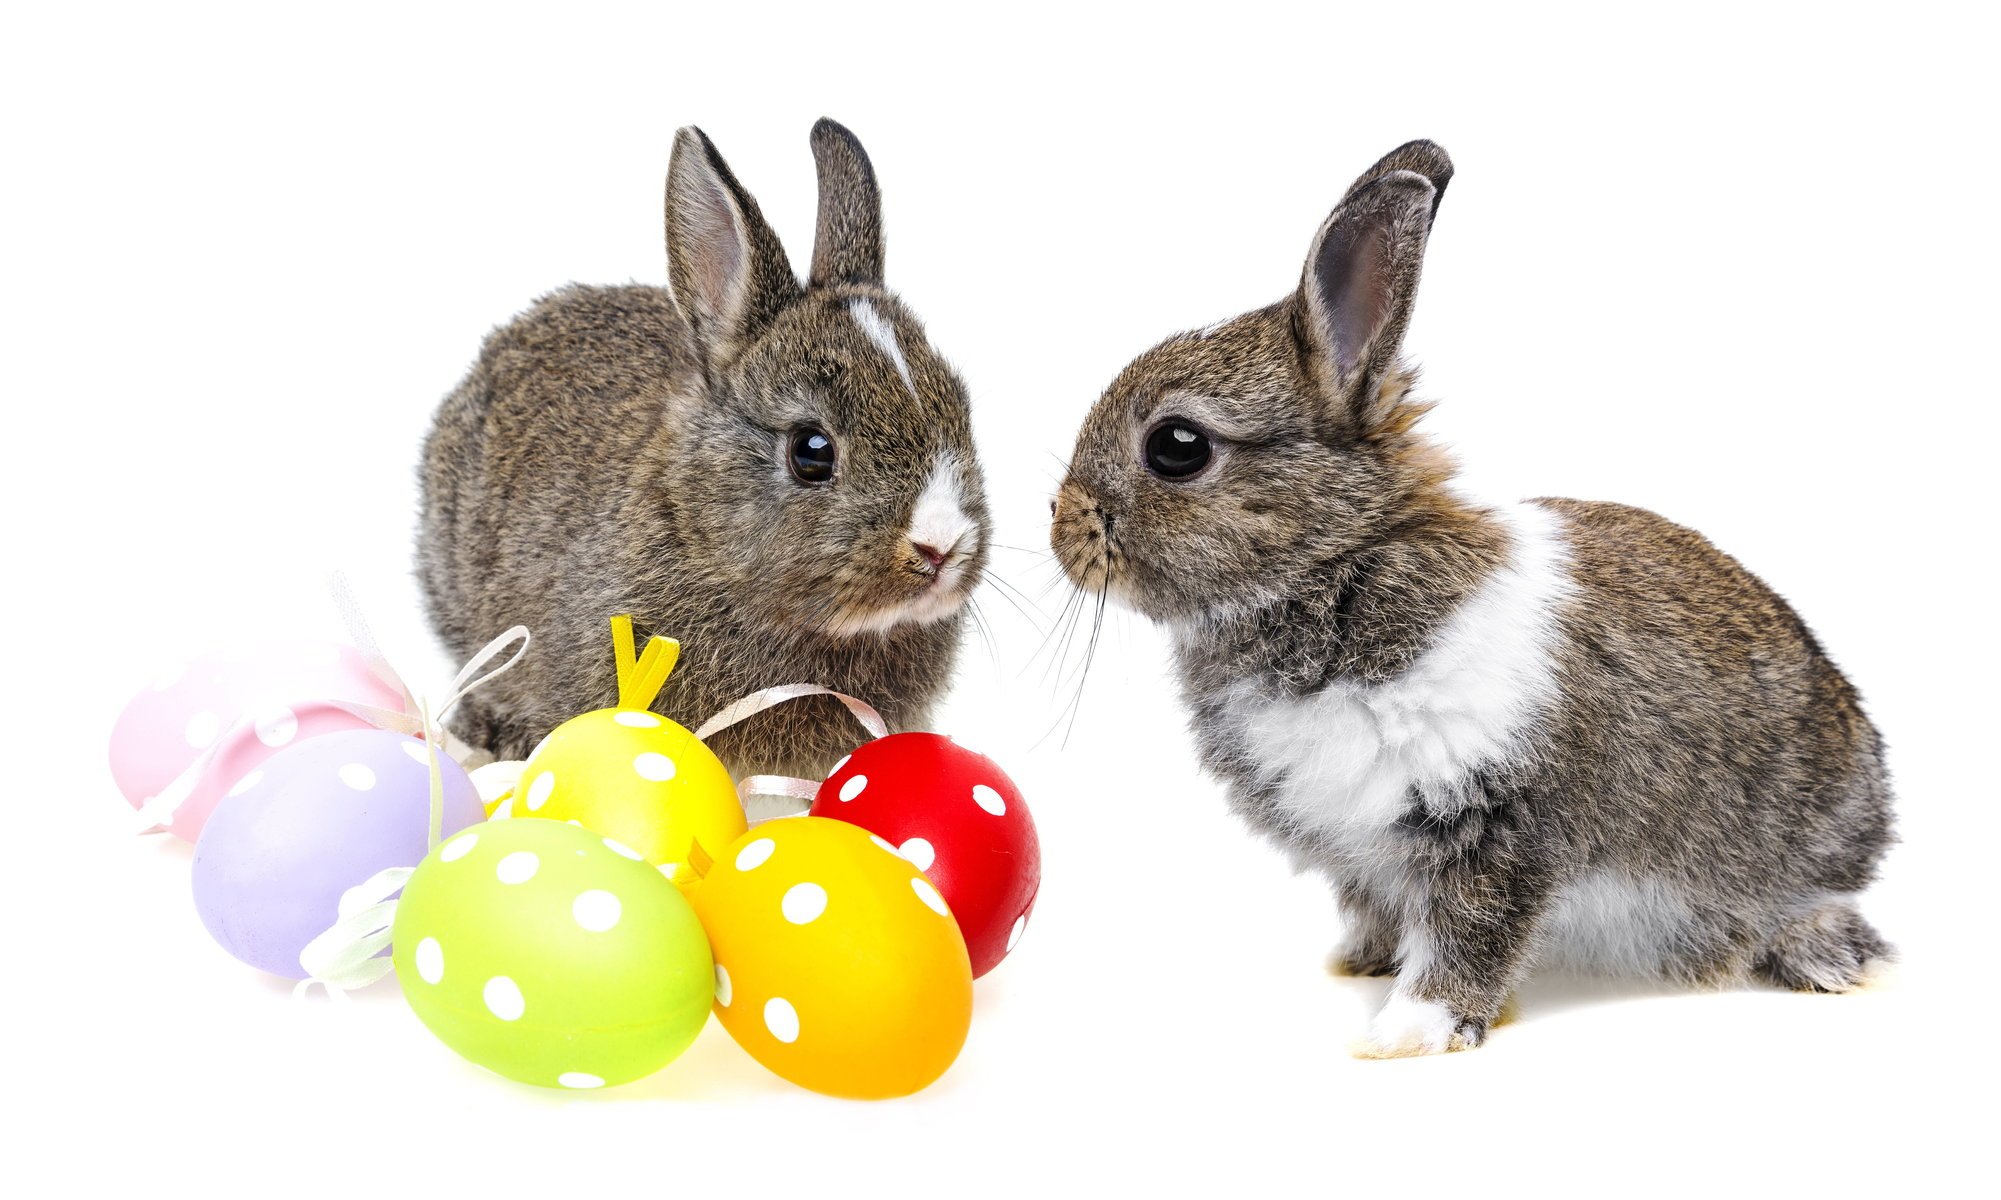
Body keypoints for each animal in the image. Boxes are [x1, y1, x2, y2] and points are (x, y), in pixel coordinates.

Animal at [1050, 140, 1893, 1057]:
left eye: (1176, 446)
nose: (1060, 529)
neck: (1342, 564)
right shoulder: (1364, 853)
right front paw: (1362, 967)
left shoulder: (1494, 826)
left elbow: (1468, 934)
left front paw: (1403, 1034)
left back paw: (1829, 959)